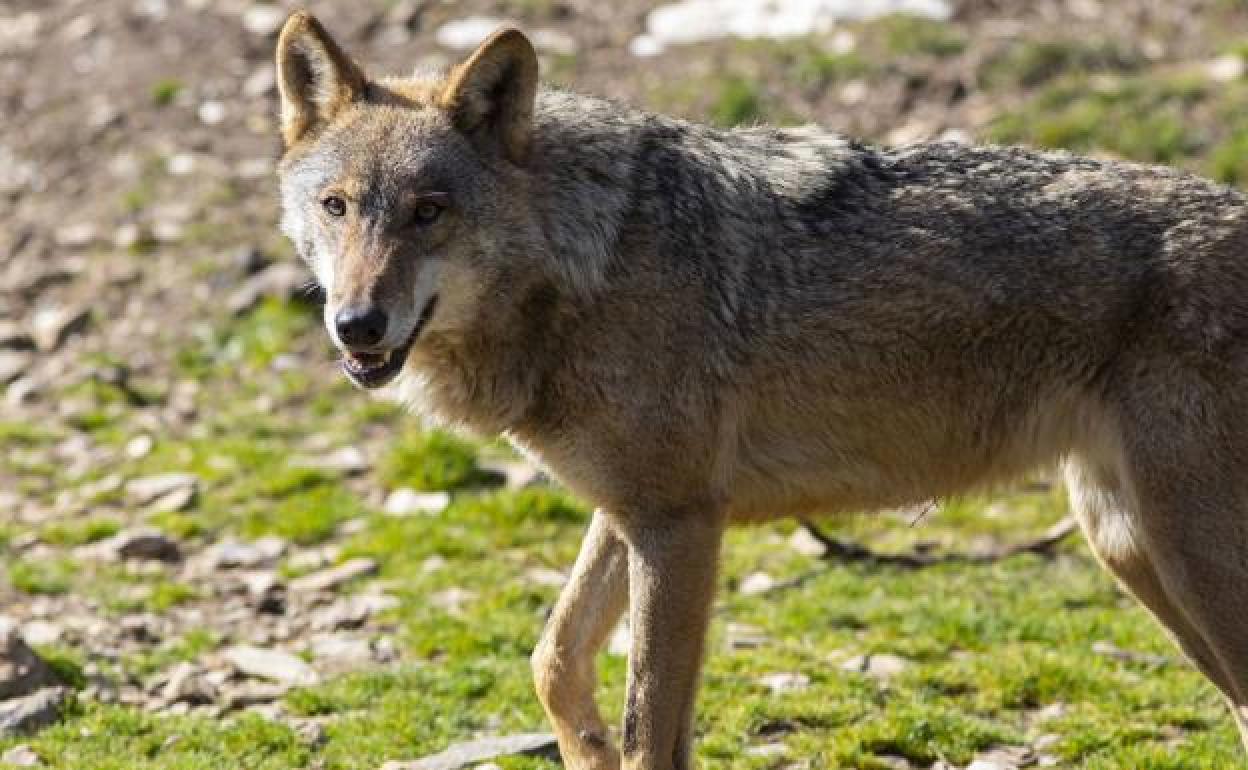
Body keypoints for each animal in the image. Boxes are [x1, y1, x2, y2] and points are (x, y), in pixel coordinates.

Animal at [275, 12, 1248, 768]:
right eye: (337, 207)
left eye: (429, 211)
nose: (357, 325)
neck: (588, 264)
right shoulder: (636, 510)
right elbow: (553, 660)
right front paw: (582, 743)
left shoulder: (678, 525)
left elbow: (647, 733)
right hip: (1125, 546)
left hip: (1179, 556)